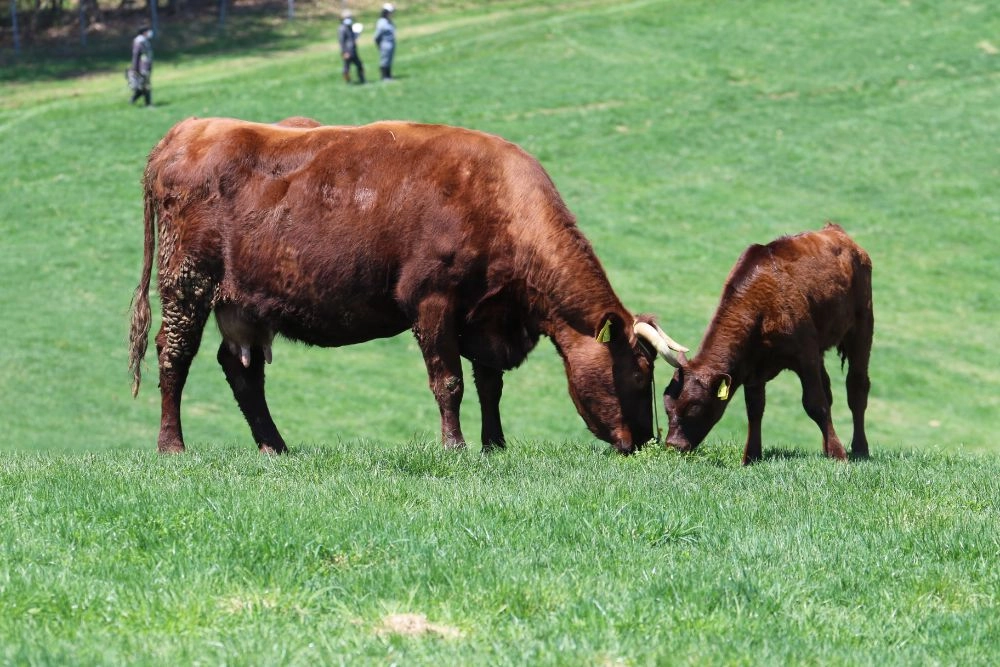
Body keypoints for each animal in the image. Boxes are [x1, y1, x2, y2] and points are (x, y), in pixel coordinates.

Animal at [129, 117, 688, 456]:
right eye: (638, 372)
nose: (643, 441)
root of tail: (188, 130)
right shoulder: (433, 302)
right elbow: (450, 382)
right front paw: (455, 449)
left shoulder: (487, 314)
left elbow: (489, 385)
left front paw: (494, 445)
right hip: (186, 284)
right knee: (173, 356)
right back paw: (172, 446)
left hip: (242, 304)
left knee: (241, 369)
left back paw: (275, 447)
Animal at [660, 224, 872, 464]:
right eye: (667, 408)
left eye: (695, 406)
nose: (674, 445)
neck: (762, 305)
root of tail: (835, 230)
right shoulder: (753, 368)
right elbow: (755, 408)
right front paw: (751, 455)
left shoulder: (805, 356)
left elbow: (815, 404)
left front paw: (838, 454)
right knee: (829, 390)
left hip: (862, 325)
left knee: (856, 387)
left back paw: (860, 448)